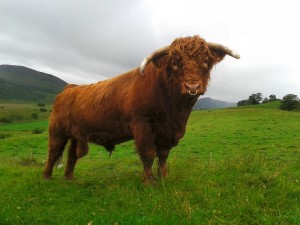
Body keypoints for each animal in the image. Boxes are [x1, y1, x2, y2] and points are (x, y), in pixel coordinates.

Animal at [42, 35, 239, 183]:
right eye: (175, 63)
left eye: (205, 61)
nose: (193, 86)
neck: (175, 112)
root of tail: (70, 88)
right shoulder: (142, 125)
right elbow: (148, 154)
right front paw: (149, 181)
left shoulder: (168, 133)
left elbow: (163, 155)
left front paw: (164, 177)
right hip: (58, 131)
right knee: (53, 152)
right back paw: (47, 177)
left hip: (76, 134)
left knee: (72, 155)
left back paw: (69, 178)